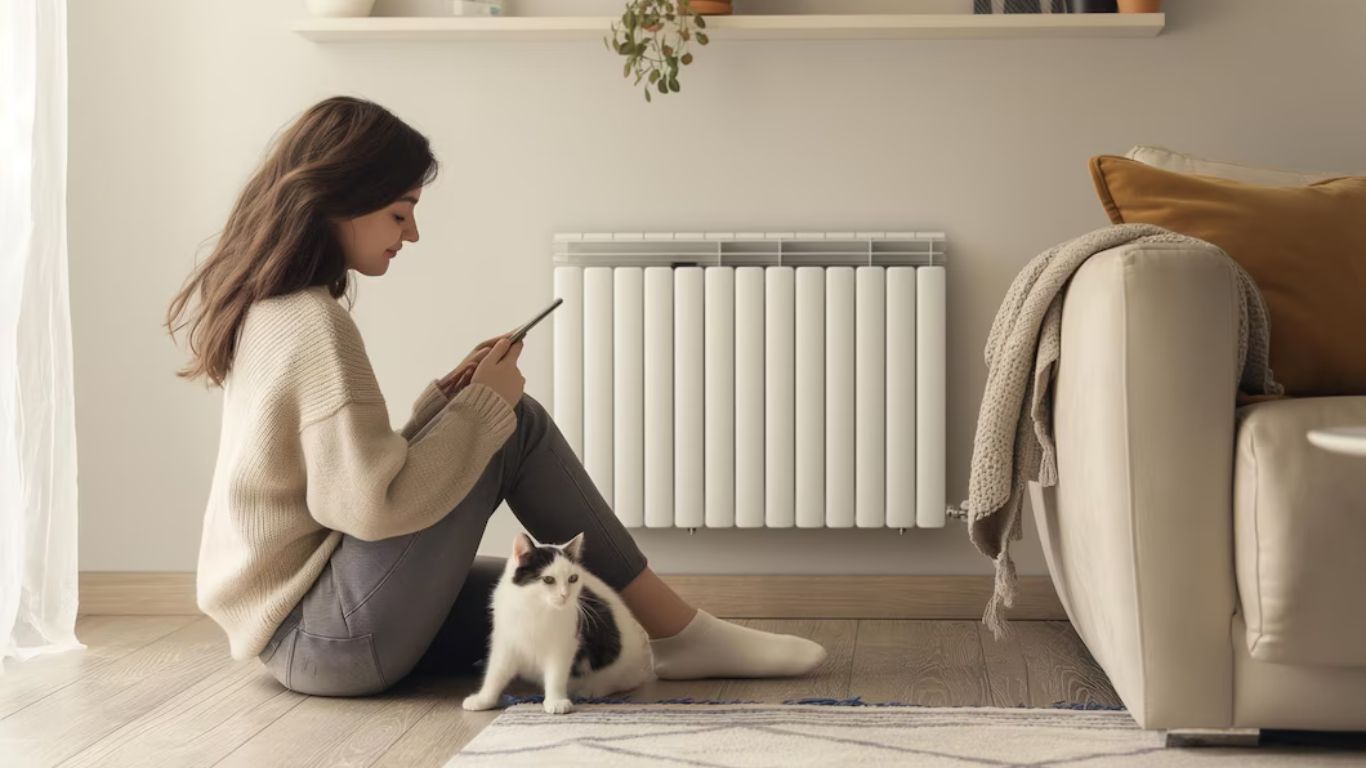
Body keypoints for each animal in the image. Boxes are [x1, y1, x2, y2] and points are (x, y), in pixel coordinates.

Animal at [461, 530, 652, 710]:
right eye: (548, 579)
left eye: (573, 578)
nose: (565, 594)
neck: (536, 608)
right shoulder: (506, 640)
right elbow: (496, 672)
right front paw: (483, 699)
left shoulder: (564, 644)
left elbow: (556, 674)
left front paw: (556, 701)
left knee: (619, 680)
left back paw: (592, 690)